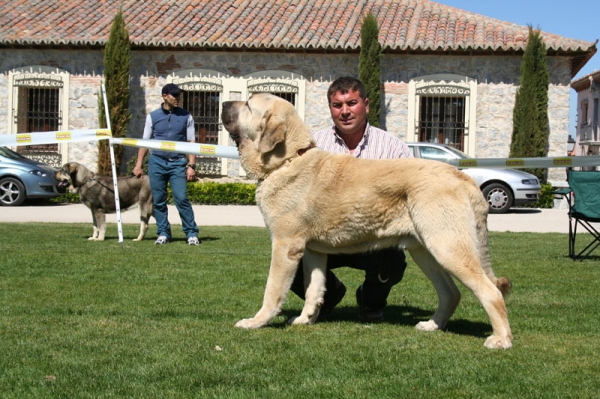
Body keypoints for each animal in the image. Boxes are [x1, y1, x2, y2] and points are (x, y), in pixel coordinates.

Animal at [223, 94, 512, 350]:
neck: (287, 159)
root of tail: (464, 178)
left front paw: (257, 322)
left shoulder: (285, 247)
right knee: (451, 293)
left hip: (447, 247)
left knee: (490, 292)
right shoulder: (312, 252)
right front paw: (306, 319)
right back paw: (432, 325)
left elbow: (272, 291)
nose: (224, 103)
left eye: (247, 104)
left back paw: (501, 340)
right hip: (426, 250)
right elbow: (313, 289)